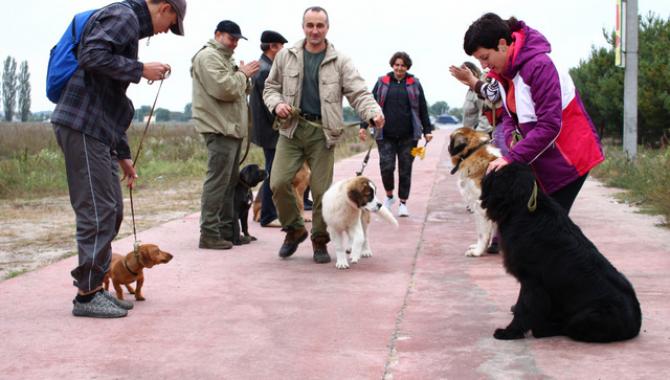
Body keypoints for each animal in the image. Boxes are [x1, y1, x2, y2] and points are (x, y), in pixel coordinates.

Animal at [480, 163, 644, 344]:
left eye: (497, 172)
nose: (485, 174)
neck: (523, 207)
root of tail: (636, 324)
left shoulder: (532, 281)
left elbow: (524, 307)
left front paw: (510, 332)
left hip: (587, 316)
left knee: (567, 327)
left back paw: (543, 328)